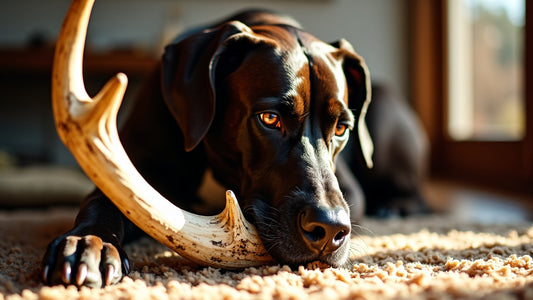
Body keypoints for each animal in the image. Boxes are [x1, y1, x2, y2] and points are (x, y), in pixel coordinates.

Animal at [41, 8, 426, 288]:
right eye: (270, 118)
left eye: (342, 128)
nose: (330, 229)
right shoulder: (132, 175)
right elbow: (104, 201)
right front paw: (87, 244)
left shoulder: (348, 191)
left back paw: (397, 205)